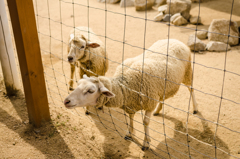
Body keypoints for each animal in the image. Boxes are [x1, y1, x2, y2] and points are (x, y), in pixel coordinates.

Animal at [62, 39, 198, 151]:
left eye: (90, 91)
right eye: (78, 83)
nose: (66, 101)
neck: (125, 85)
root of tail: (176, 40)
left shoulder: (149, 102)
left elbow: (145, 122)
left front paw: (146, 143)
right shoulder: (131, 103)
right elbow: (130, 118)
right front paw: (130, 133)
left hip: (188, 72)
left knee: (191, 89)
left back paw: (195, 109)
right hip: (164, 86)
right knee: (163, 98)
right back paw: (158, 110)